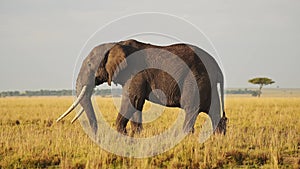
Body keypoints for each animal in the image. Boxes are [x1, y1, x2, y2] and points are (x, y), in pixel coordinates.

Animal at [56, 39, 227, 136]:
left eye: (90, 65)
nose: (95, 135)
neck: (115, 44)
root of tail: (218, 67)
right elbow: (137, 104)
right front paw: (136, 135)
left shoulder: (135, 73)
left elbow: (132, 100)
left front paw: (122, 135)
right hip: (207, 81)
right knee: (214, 111)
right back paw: (218, 137)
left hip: (195, 79)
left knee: (191, 108)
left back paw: (185, 136)